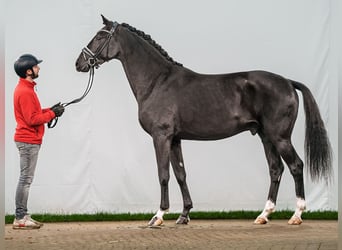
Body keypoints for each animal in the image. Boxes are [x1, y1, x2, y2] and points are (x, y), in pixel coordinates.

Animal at [75, 15, 332, 227]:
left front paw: (158, 216)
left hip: (280, 137)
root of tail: (288, 82)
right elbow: (180, 174)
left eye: (100, 36)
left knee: (296, 165)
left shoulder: (161, 136)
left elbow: (163, 174)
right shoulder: (175, 139)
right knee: (276, 169)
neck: (157, 81)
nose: (79, 63)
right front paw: (184, 215)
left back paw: (296, 215)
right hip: (265, 136)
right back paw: (264, 215)